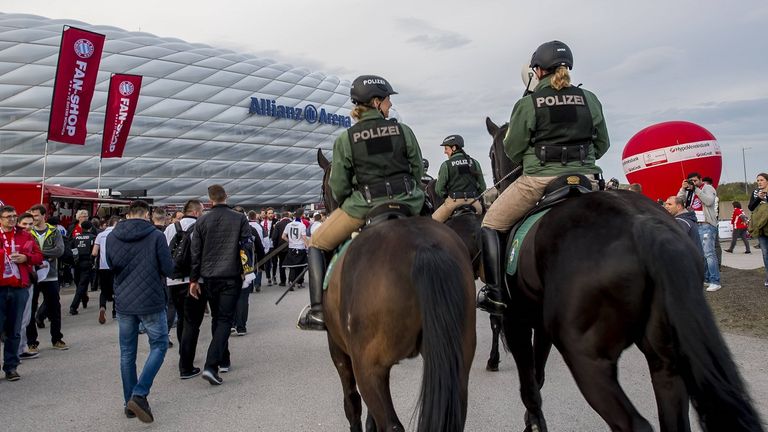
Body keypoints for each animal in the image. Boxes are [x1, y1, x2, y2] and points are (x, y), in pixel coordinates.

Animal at [316, 149, 476, 432]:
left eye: (324, 186)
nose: (323, 208)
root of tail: (424, 248)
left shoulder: (339, 351)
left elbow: (352, 403)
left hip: (369, 367)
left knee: (389, 423)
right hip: (458, 359)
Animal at [486, 116, 760, 430]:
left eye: (492, 153)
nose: (493, 189)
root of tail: (644, 226)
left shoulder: (515, 321)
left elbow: (530, 386)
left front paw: (532, 422)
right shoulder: (538, 326)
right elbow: (538, 376)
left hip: (586, 356)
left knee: (634, 423)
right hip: (665, 359)